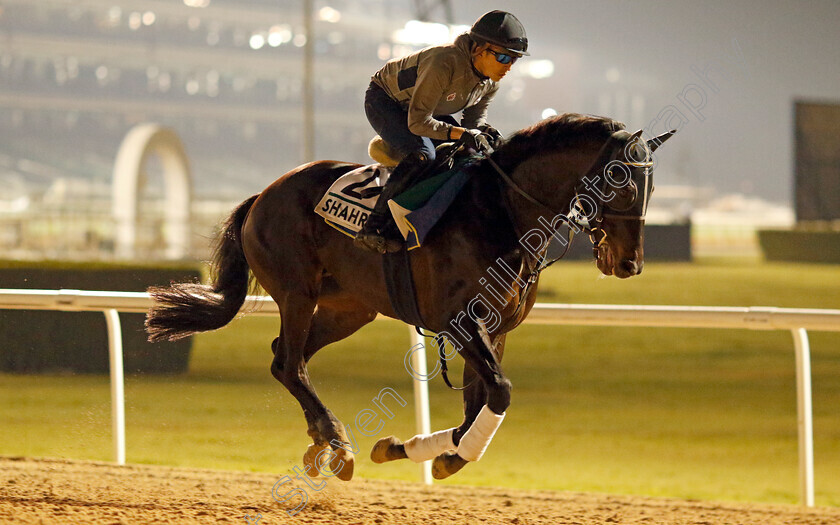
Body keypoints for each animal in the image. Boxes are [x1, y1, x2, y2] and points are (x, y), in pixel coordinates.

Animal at [143, 114, 668, 484]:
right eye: (621, 179)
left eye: (651, 185)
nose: (630, 262)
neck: (500, 213)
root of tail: (262, 195)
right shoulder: (460, 322)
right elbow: (499, 393)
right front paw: (446, 457)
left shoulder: (495, 330)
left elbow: (477, 407)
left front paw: (409, 449)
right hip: (297, 292)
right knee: (290, 362)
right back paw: (338, 443)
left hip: (349, 309)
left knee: (284, 361)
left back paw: (322, 442)